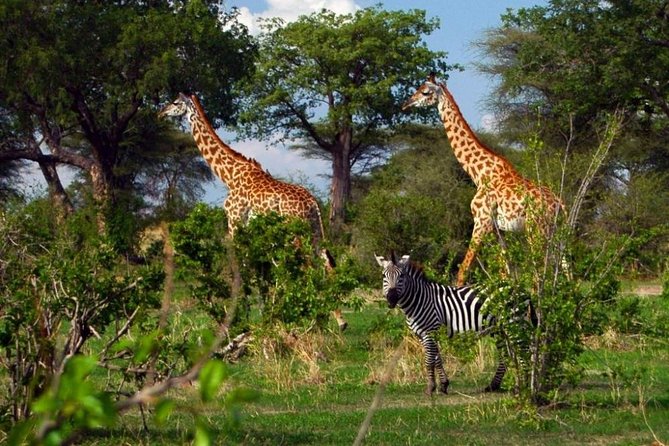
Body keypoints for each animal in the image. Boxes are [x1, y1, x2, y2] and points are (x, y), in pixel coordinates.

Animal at [159, 93, 347, 330]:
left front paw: (242, 317)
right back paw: (338, 320)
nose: (160, 113)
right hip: (314, 230)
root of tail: (312, 203)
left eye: (175, 103)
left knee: (307, 267)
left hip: (295, 234)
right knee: (326, 262)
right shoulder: (253, 231)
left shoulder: (234, 222)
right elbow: (259, 272)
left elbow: (241, 270)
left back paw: (316, 317)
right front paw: (266, 313)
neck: (229, 175)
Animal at [402, 74, 563, 286]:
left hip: (536, 228)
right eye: (418, 88)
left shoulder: (481, 221)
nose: (406, 104)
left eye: (425, 92)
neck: (479, 173)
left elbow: (463, 271)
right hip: (555, 231)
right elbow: (506, 272)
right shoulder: (498, 229)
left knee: (541, 270)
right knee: (565, 267)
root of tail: (559, 204)